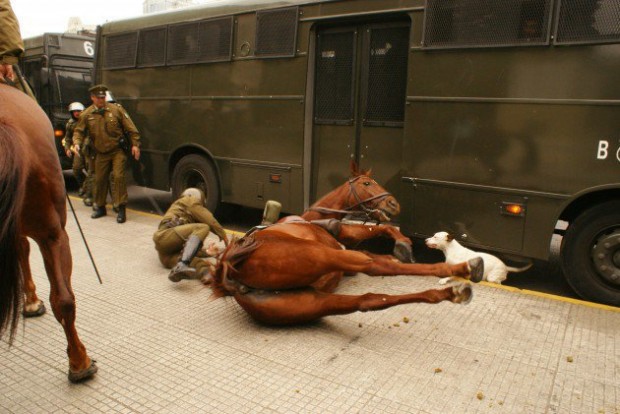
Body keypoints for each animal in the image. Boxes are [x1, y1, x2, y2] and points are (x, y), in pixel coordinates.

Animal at [0, 83, 97, 382]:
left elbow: (22, 249)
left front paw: (31, 301)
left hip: (51, 229)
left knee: (63, 298)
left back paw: (79, 361)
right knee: (64, 299)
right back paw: (79, 362)